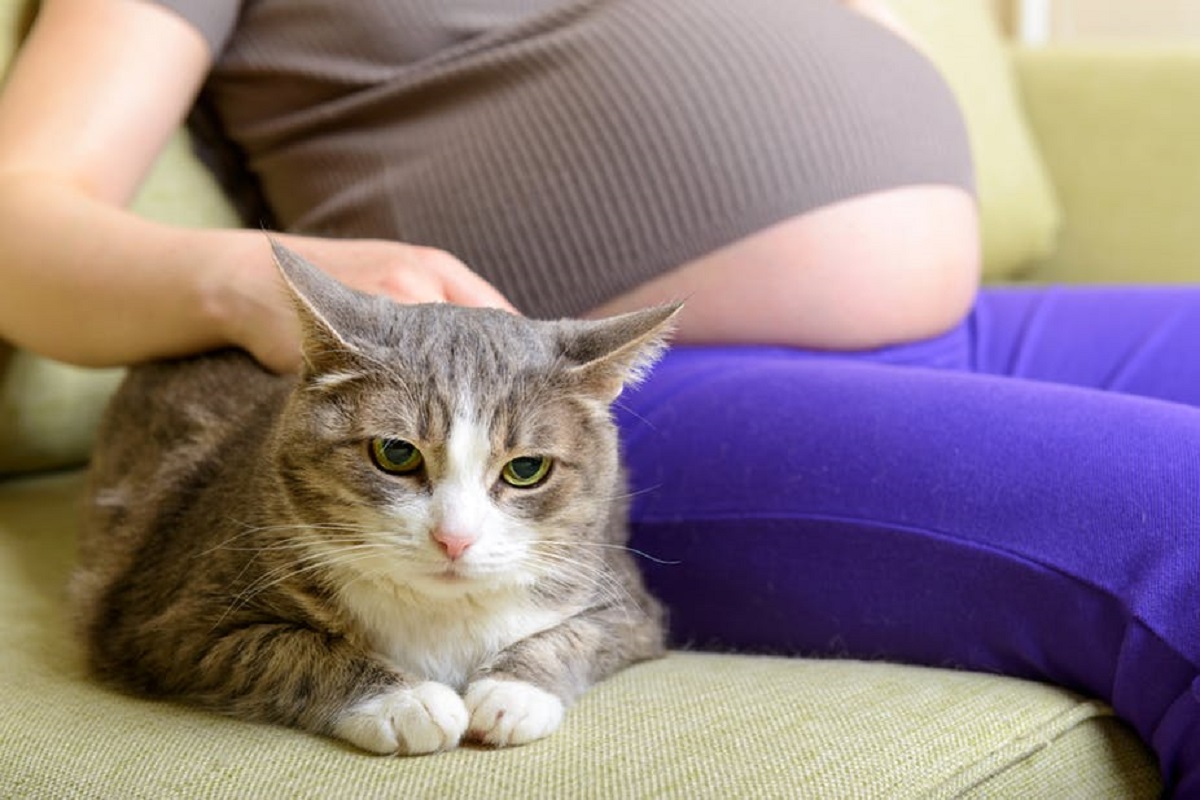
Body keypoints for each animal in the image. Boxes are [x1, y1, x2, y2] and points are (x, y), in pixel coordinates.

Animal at [70, 241, 676, 753]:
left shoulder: (623, 597)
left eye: (526, 468)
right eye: (396, 453)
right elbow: (283, 649)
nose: (454, 539)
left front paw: (513, 691)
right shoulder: (168, 617)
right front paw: (406, 701)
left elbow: (581, 634)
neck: (438, 613)